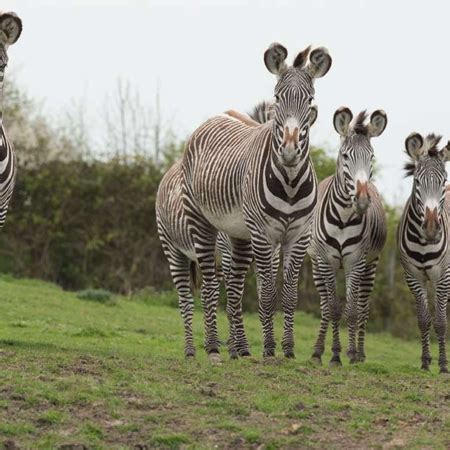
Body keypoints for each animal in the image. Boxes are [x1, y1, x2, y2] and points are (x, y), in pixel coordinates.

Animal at [181, 43, 332, 358]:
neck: (289, 183)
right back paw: (214, 347)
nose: (289, 151)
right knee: (211, 285)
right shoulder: (263, 235)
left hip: (239, 235)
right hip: (204, 223)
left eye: (310, 99)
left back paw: (239, 348)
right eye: (277, 97)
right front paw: (269, 349)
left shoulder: (298, 236)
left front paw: (288, 349)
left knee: (234, 289)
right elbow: (267, 293)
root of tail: (218, 116)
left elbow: (288, 294)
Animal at [308, 108, 388, 366]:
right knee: (324, 305)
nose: (362, 201)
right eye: (345, 156)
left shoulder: (356, 261)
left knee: (363, 307)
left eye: (371, 157)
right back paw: (317, 351)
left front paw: (351, 353)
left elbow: (352, 310)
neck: (343, 218)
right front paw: (334, 355)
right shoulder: (326, 260)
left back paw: (360, 353)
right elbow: (333, 308)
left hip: (372, 264)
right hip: (316, 264)